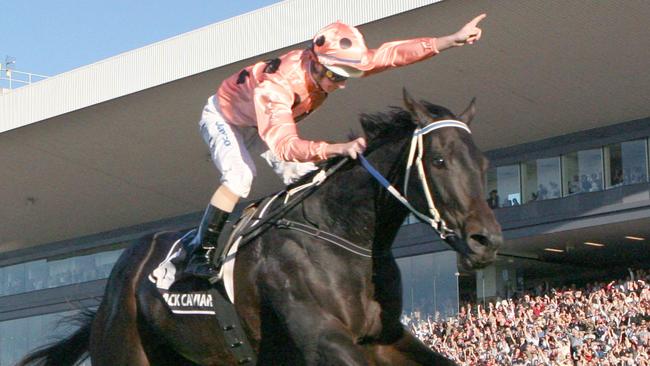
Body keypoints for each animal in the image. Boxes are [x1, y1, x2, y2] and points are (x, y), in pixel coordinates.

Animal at [16, 89, 502, 366]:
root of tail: (115, 285)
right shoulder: (324, 338)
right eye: (438, 160)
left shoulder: (383, 338)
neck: (342, 234)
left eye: (483, 164)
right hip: (125, 350)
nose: (487, 240)